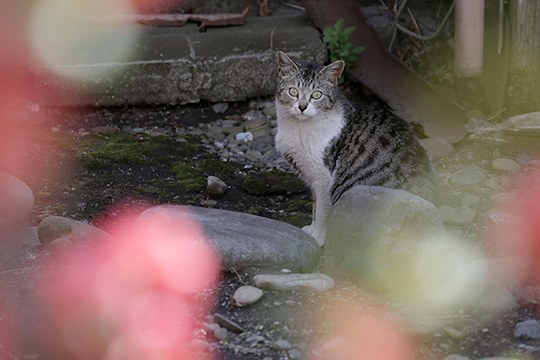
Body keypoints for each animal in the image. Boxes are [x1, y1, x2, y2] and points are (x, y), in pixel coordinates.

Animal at [274, 50, 434, 246]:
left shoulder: (323, 178)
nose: (302, 107)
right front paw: (311, 230)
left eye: (317, 95)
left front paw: (317, 237)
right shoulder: (311, 176)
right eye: (293, 91)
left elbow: (322, 211)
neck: (298, 128)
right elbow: (314, 206)